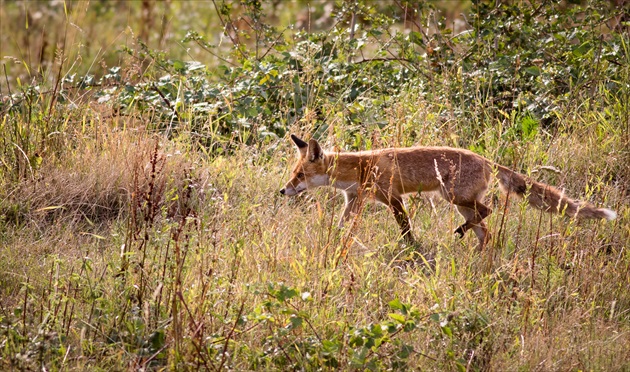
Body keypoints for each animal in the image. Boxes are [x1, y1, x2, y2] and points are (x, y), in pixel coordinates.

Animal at [280, 134, 616, 250]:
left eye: (299, 175)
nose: (283, 191)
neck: (360, 167)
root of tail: (486, 159)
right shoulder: (354, 200)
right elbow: (341, 226)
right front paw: (334, 243)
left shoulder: (393, 197)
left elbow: (405, 227)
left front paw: (411, 248)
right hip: (461, 203)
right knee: (485, 229)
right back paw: (478, 252)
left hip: (453, 198)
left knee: (488, 212)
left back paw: (460, 234)